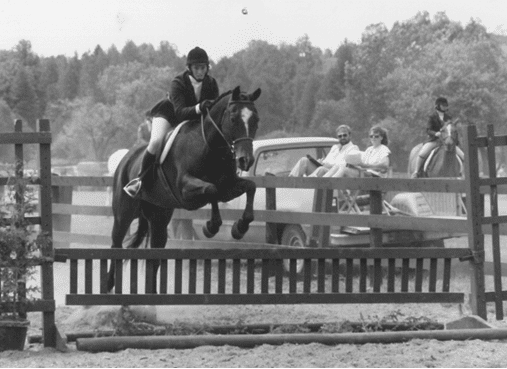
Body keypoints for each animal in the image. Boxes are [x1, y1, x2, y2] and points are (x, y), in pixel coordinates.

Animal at [106, 85, 262, 292]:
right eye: (233, 118)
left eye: (255, 120)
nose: (246, 161)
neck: (210, 146)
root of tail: (126, 158)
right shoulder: (185, 190)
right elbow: (211, 189)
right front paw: (211, 227)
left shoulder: (228, 188)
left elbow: (249, 187)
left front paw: (240, 227)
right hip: (123, 215)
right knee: (116, 244)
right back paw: (107, 286)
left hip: (159, 218)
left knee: (155, 255)